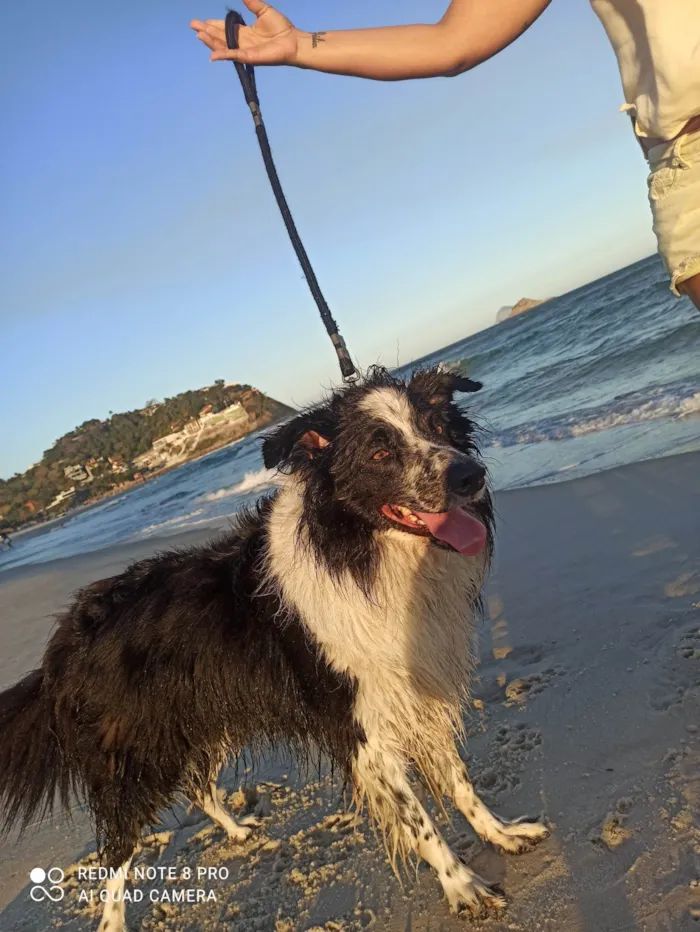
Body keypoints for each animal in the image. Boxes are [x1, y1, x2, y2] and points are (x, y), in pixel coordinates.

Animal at [0, 368, 548, 928]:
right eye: (379, 453)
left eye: (439, 427)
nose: (470, 475)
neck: (361, 554)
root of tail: (62, 647)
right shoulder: (361, 728)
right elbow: (419, 822)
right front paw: (463, 886)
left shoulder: (418, 694)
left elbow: (460, 782)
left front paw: (500, 834)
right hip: (137, 758)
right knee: (116, 853)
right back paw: (114, 917)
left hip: (205, 715)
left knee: (199, 786)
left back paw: (237, 830)